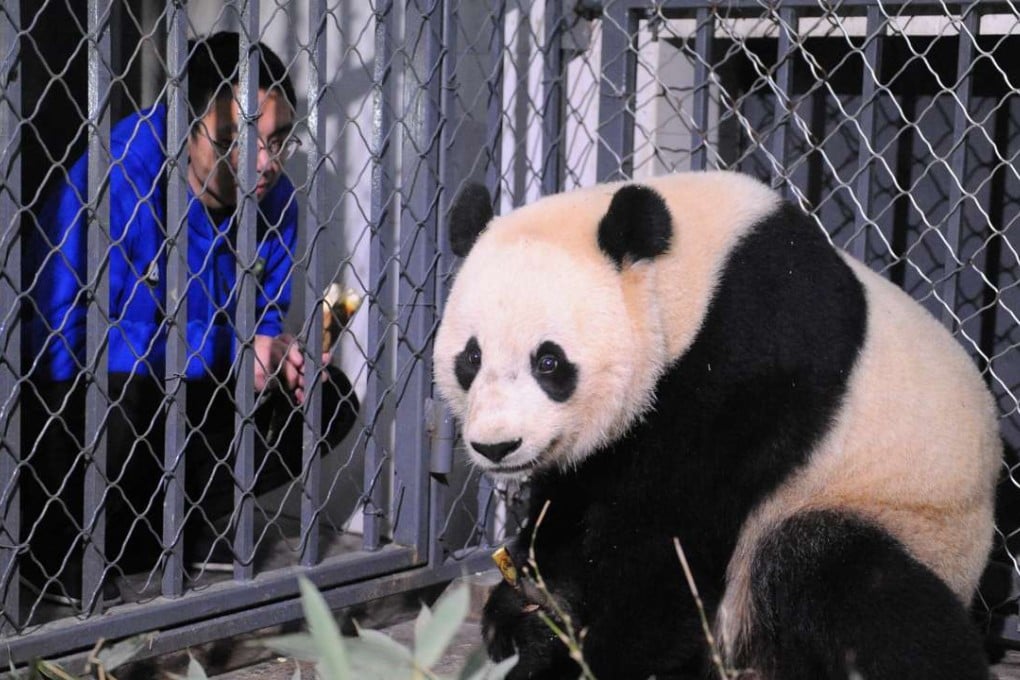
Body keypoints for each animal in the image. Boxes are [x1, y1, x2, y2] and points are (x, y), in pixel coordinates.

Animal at [433, 171, 1001, 680]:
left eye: (548, 362)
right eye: (471, 358)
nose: (497, 445)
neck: (691, 279)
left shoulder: (755, 358)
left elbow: (670, 540)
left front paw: (590, 657)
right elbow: (576, 505)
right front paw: (527, 619)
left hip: (899, 516)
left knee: (846, 577)